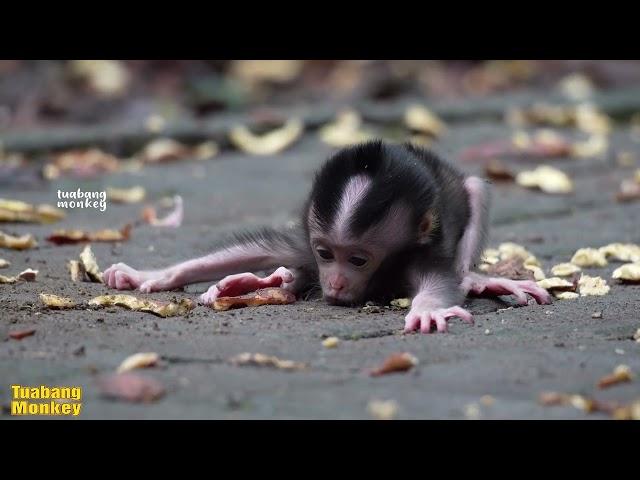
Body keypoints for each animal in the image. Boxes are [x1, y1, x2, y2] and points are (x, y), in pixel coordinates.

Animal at [105, 141, 552, 332]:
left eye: (357, 260)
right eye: (326, 253)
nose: (333, 282)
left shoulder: (416, 256)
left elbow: (439, 283)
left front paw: (426, 309)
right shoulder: (306, 243)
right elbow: (258, 249)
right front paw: (150, 276)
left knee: (475, 190)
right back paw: (259, 283)